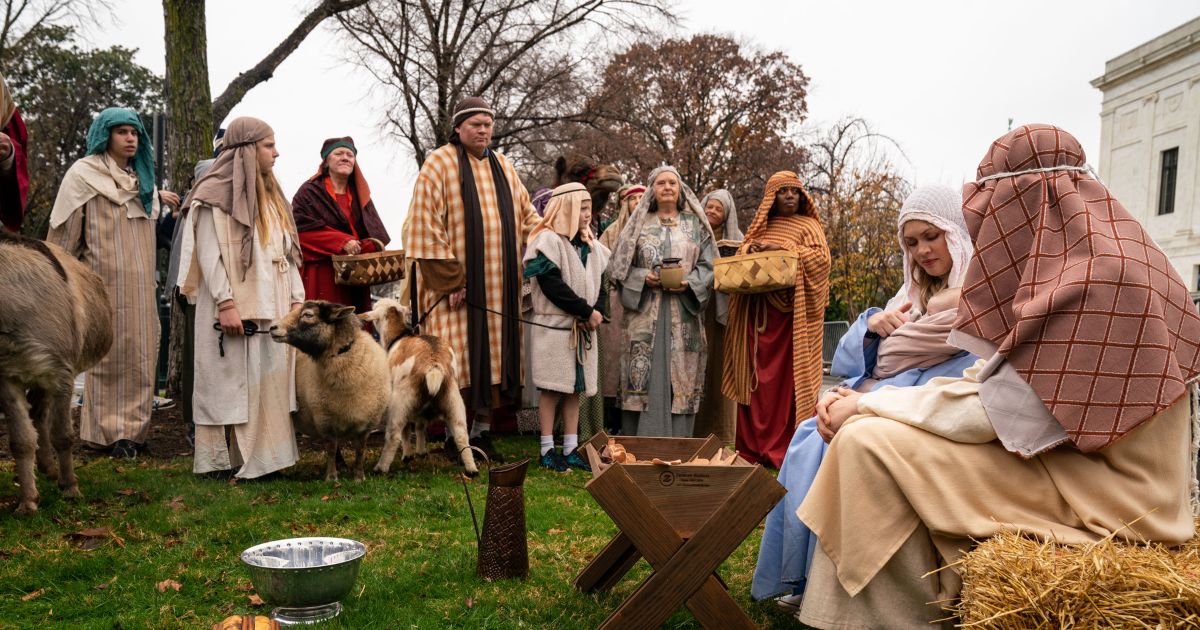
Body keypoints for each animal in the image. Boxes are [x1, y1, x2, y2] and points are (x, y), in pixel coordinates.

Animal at [0, 229, 112, 511]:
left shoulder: (61, 375)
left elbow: (62, 435)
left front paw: (70, 487)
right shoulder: (7, 377)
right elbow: (21, 440)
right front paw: (27, 501)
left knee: (41, 415)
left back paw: (53, 470)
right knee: (38, 415)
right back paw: (46, 467)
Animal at [268, 300, 388, 482]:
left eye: (308, 315)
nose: (272, 327)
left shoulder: (367, 423)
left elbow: (360, 450)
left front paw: (359, 477)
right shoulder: (326, 420)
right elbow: (331, 448)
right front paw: (331, 477)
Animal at [357, 300, 475, 477]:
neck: (398, 336)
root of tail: (433, 366)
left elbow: (407, 431)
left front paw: (408, 455)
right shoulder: (421, 410)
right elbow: (420, 425)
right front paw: (421, 451)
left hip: (400, 401)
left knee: (394, 434)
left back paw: (381, 468)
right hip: (453, 399)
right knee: (461, 435)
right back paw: (472, 469)